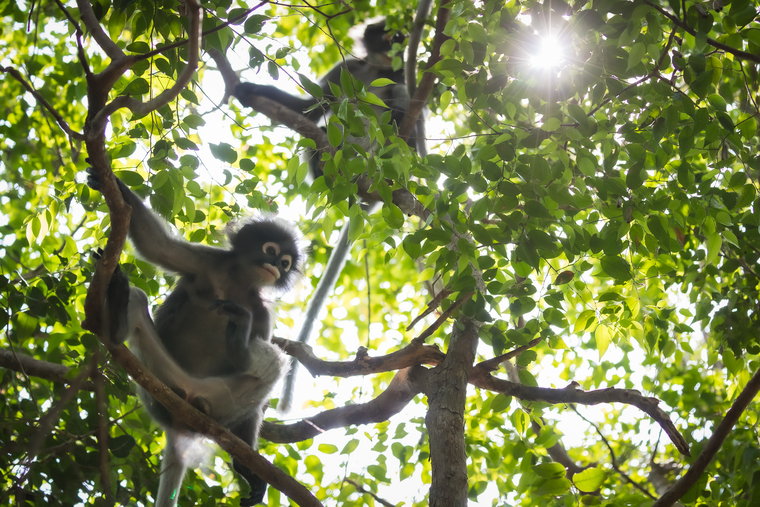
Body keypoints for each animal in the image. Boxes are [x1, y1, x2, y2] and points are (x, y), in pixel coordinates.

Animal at [87, 172, 302, 507]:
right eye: (271, 251)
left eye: (286, 263)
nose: (277, 266)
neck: (238, 283)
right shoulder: (207, 262)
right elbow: (158, 247)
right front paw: (118, 187)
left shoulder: (262, 313)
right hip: (160, 384)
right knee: (136, 301)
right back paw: (119, 314)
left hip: (222, 401)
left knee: (266, 372)